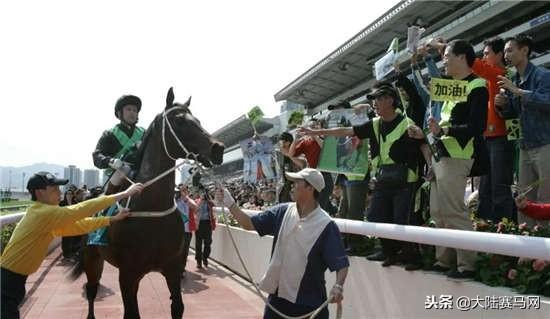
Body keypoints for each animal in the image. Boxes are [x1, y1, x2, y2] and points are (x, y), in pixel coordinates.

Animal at [71, 88, 226, 319]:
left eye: (197, 120)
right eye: (179, 121)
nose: (218, 148)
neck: (152, 207)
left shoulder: (173, 269)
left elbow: (178, 307)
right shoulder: (128, 275)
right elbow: (131, 313)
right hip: (92, 257)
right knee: (92, 291)